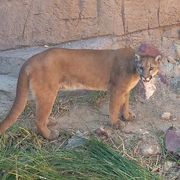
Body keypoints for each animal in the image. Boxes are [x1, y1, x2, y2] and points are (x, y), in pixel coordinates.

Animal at [0, 46, 160, 139]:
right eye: (141, 67)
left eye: (151, 68)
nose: (146, 77)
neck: (133, 68)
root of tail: (31, 59)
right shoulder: (116, 90)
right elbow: (114, 108)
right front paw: (115, 123)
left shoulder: (125, 91)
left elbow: (125, 105)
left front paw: (127, 116)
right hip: (48, 92)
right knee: (38, 119)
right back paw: (50, 135)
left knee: (40, 115)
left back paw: (50, 122)